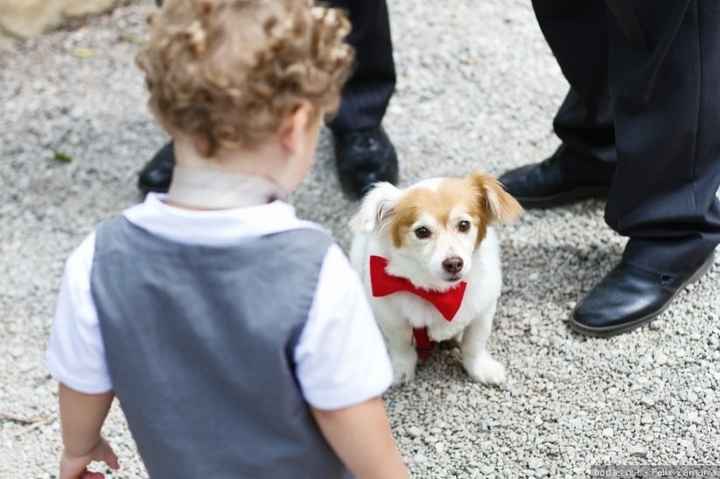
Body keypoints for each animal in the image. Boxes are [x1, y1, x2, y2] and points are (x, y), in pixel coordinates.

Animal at [348, 172, 520, 386]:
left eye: (464, 225)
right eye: (422, 232)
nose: (454, 263)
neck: (437, 293)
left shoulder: (482, 312)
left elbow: (474, 344)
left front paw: (480, 369)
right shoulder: (391, 318)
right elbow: (401, 346)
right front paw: (401, 371)